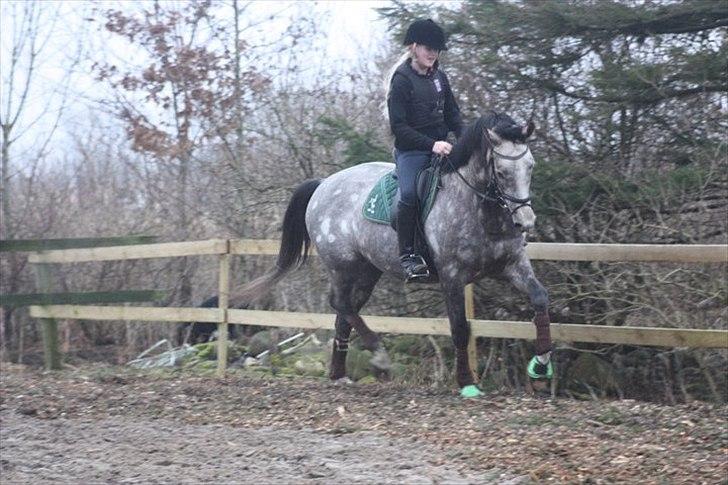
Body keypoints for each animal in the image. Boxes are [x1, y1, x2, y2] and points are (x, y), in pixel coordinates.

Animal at [237, 111, 552, 396]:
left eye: (531, 166)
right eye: (502, 172)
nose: (526, 222)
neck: (479, 209)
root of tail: (323, 184)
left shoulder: (514, 265)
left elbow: (540, 298)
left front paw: (540, 366)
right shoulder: (452, 277)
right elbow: (461, 329)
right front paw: (467, 383)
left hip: (367, 271)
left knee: (345, 311)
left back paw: (339, 373)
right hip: (342, 265)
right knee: (339, 303)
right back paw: (378, 354)